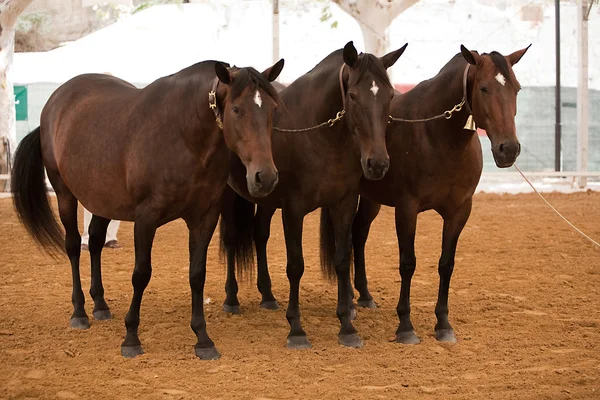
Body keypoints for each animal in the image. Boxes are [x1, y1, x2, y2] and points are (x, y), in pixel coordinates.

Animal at [9, 58, 286, 360]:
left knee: (94, 242)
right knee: (73, 246)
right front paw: (131, 337)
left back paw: (100, 305)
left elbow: (197, 274)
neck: (184, 137)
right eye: (236, 109)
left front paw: (202, 339)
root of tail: (55, 101)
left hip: (102, 201)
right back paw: (80, 312)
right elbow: (141, 274)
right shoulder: (146, 218)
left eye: (273, 109)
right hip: (64, 194)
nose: (265, 177)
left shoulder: (205, 218)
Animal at [220, 42, 408, 348]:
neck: (318, 138)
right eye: (353, 96)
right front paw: (296, 329)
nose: (378, 163)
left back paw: (268, 296)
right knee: (231, 238)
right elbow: (296, 265)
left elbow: (342, 259)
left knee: (260, 234)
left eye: (390, 95)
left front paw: (347, 327)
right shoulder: (293, 210)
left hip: (267, 198)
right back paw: (232, 299)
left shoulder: (344, 204)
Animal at [352, 43, 528, 344]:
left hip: (371, 198)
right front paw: (405, 326)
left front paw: (443, 324)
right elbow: (407, 263)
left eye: (516, 88)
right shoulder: (407, 209)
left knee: (359, 234)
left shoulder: (459, 211)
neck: (435, 135)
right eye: (483, 88)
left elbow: (447, 264)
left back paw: (364, 296)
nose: (509, 149)